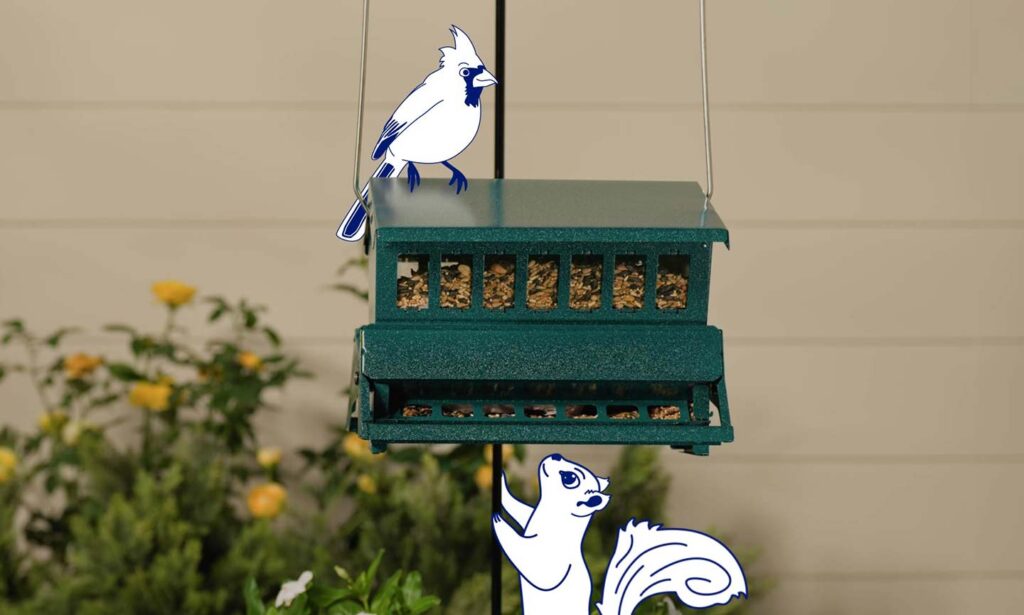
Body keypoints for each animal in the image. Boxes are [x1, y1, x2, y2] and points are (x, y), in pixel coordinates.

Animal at [492, 454, 747, 615]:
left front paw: (498, 522)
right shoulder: (530, 517)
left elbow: (536, 569)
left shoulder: (550, 559)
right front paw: (502, 485)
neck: (548, 514)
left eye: (570, 479)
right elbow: (519, 509)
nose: (555, 455)